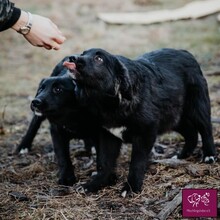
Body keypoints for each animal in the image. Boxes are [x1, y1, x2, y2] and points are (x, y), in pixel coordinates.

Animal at [63, 47, 215, 194]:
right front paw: (95, 184)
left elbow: (137, 162)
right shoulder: (108, 134)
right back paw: (182, 155)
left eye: (98, 58)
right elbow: (105, 162)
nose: (72, 58)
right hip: (173, 117)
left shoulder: (145, 133)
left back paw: (209, 155)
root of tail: (185, 52)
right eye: (83, 53)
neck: (111, 103)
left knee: (206, 130)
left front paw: (131, 187)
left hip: (197, 108)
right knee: (191, 133)